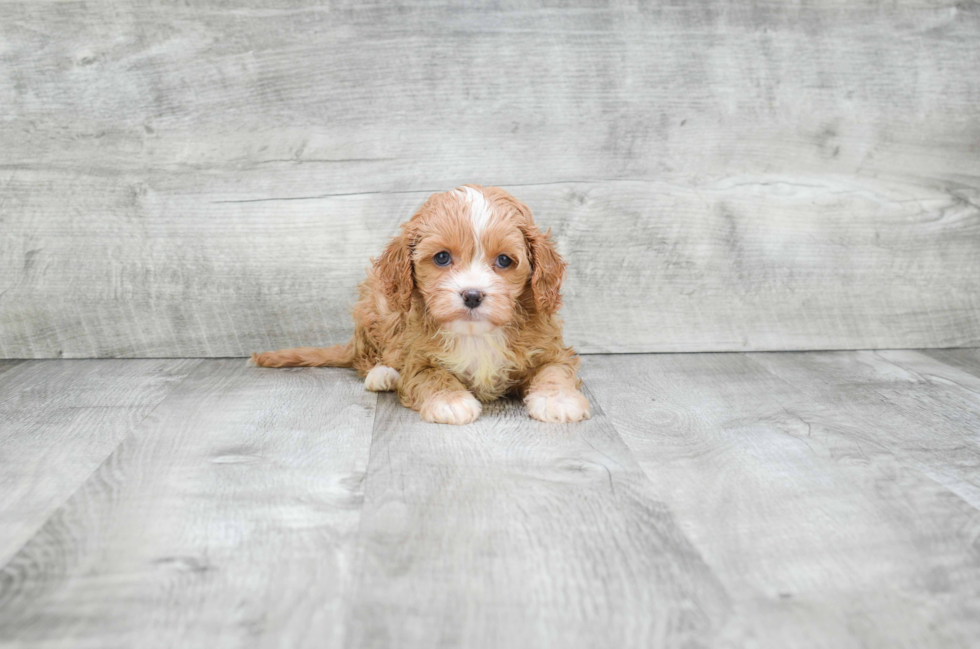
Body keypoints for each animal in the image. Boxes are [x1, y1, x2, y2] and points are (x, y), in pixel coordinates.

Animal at [253, 184, 588, 426]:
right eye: (442, 257)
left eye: (505, 260)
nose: (472, 295)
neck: (475, 333)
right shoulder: (417, 356)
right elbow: (431, 375)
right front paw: (451, 402)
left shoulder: (551, 349)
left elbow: (553, 370)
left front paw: (558, 401)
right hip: (377, 307)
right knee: (367, 359)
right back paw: (383, 374)